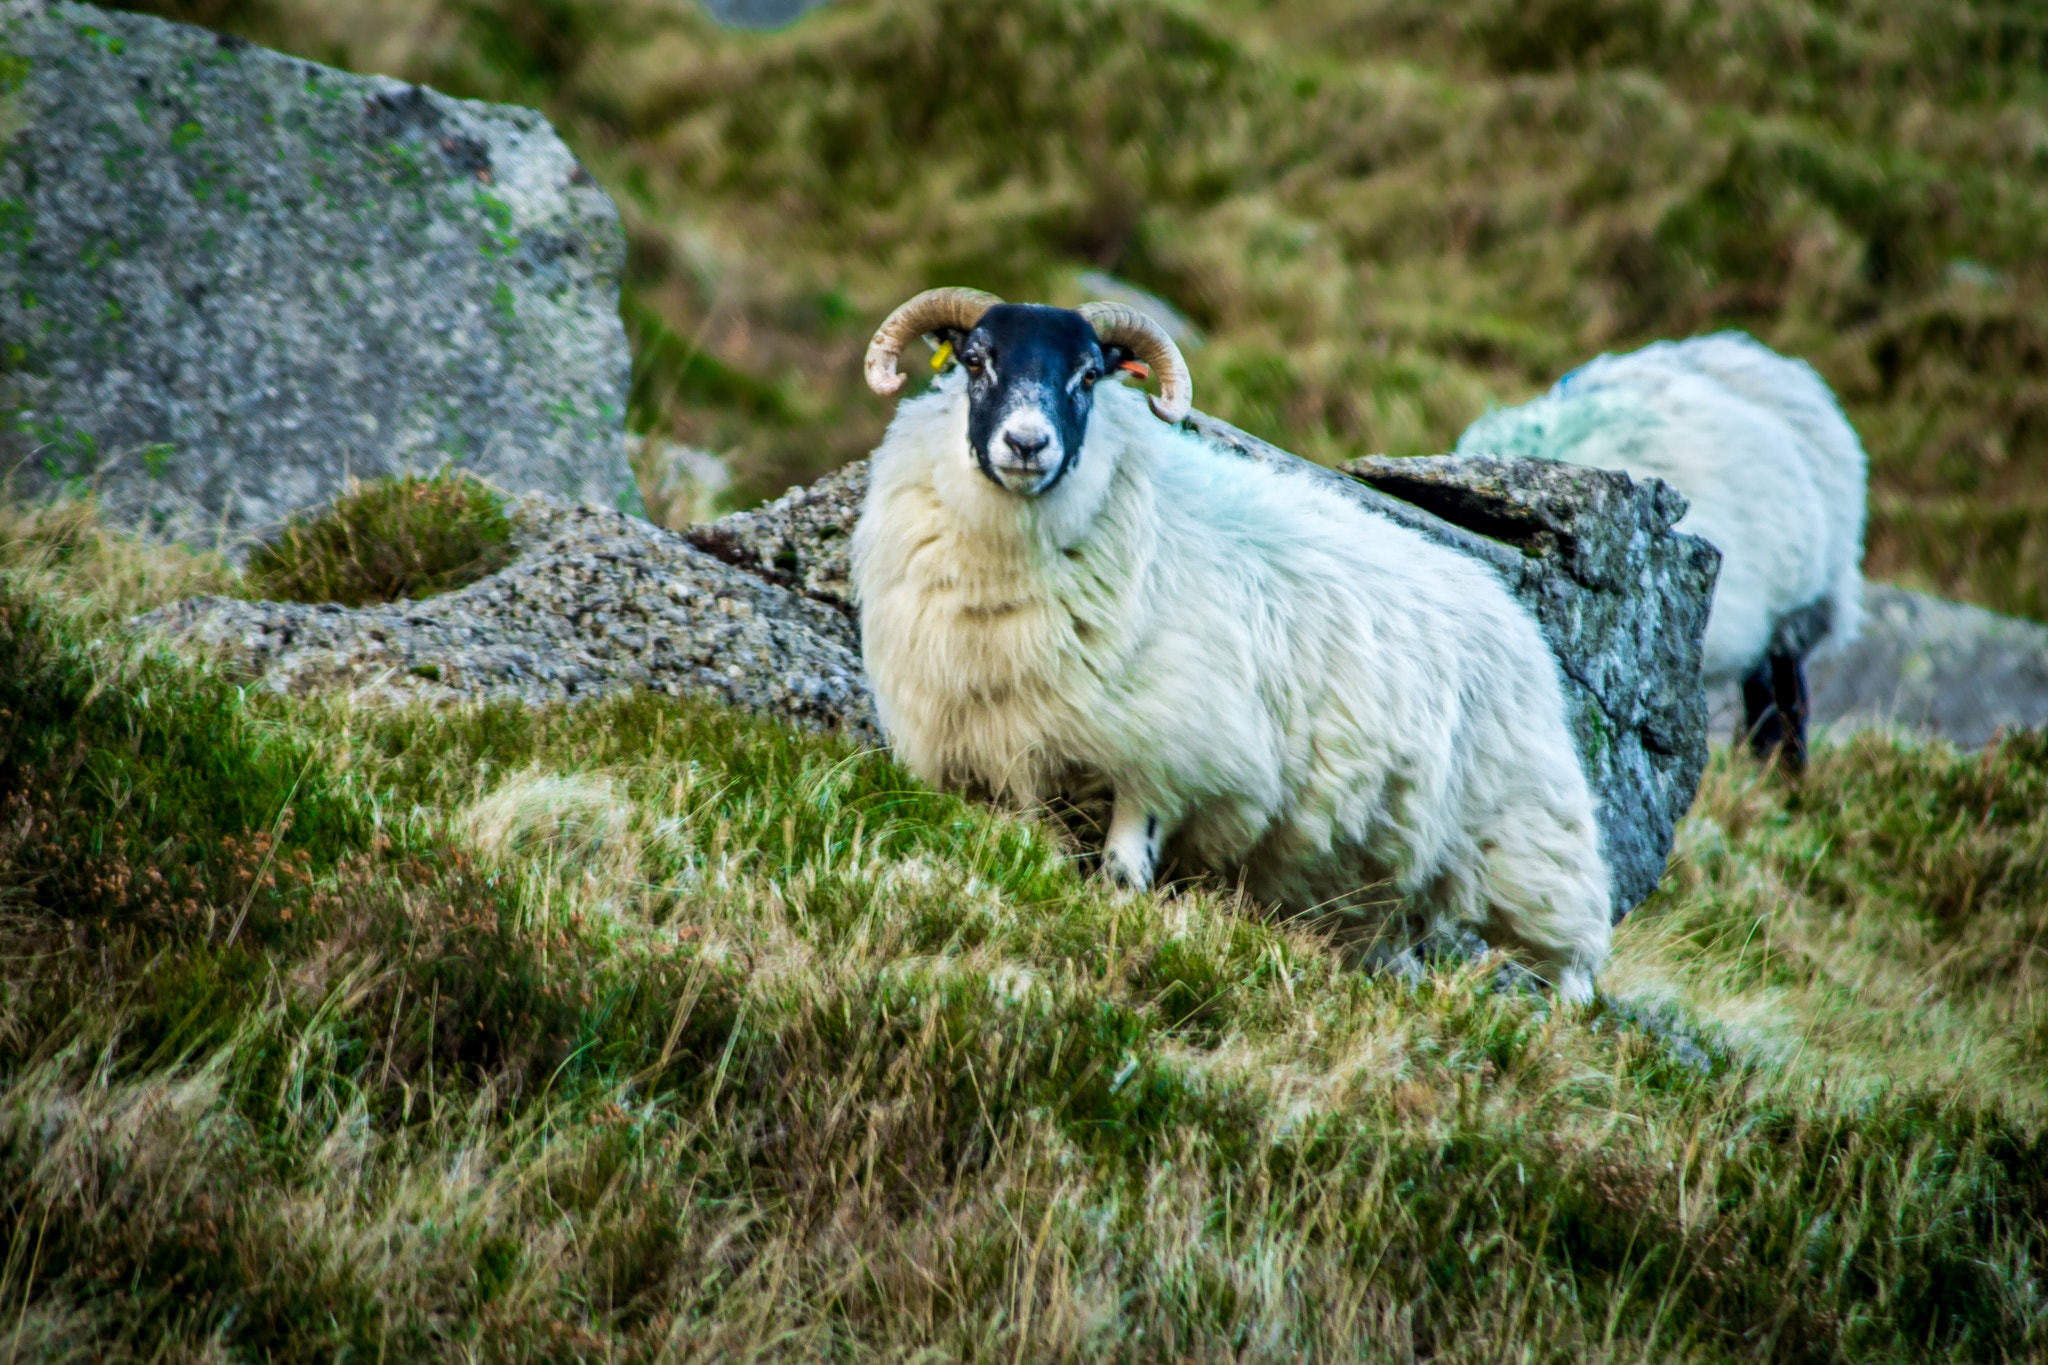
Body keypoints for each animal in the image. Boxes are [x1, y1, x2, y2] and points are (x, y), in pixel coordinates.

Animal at [851, 288, 1612, 1000]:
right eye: (976, 361)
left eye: (1090, 375)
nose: (1027, 445)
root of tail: (1512, 609)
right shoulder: (1006, 752)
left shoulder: (1171, 749)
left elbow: (1123, 873)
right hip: (1382, 876)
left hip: (1533, 846)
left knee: (1568, 967)